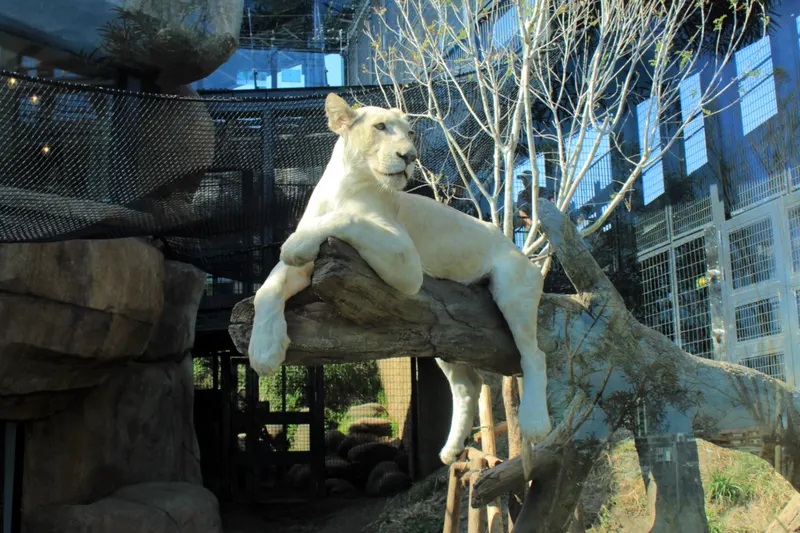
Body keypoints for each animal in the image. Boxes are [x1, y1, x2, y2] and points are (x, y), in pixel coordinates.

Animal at [248, 93, 552, 464]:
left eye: (410, 133)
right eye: (380, 126)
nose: (410, 157)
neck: (347, 184)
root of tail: (521, 251)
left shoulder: (406, 261)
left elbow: (347, 218)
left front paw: (295, 243)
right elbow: (267, 288)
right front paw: (264, 350)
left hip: (512, 286)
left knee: (534, 355)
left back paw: (535, 423)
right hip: (447, 335)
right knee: (468, 383)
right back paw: (451, 450)